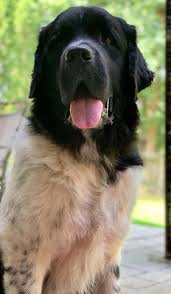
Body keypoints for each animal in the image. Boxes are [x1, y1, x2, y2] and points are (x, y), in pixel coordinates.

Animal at [0, 5, 153, 294]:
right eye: (59, 41)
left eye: (108, 39)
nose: (78, 54)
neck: (89, 159)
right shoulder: (25, 257)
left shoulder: (108, 259)